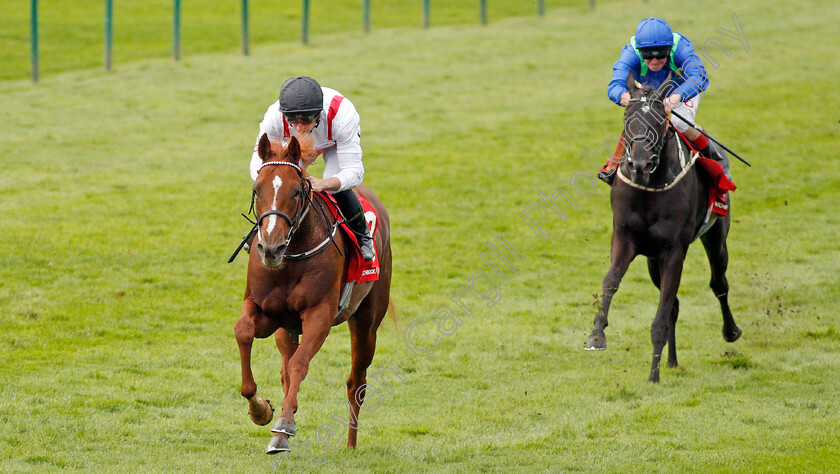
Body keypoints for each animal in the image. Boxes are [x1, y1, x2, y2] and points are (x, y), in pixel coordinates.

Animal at [236, 132, 394, 452]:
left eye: (297, 191)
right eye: (257, 189)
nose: (270, 247)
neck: (291, 257)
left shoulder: (320, 314)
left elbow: (300, 364)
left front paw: (283, 425)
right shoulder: (265, 311)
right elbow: (244, 331)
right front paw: (261, 410)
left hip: (367, 320)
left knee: (356, 382)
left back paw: (350, 445)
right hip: (286, 329)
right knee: (286, 369)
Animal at [584, 77, 740, 382]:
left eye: (659, 119)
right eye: (627, 117)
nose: (639, 164)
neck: (649, 188)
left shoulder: (674, 251)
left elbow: (661, 315)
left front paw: (652, 377)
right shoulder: (625, 238)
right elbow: (611, 281)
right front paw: (597, 335)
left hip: (716, 236)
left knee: (718, 283)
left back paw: (730, 332)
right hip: (652, 260)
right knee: (675, 305)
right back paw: (671, 361)